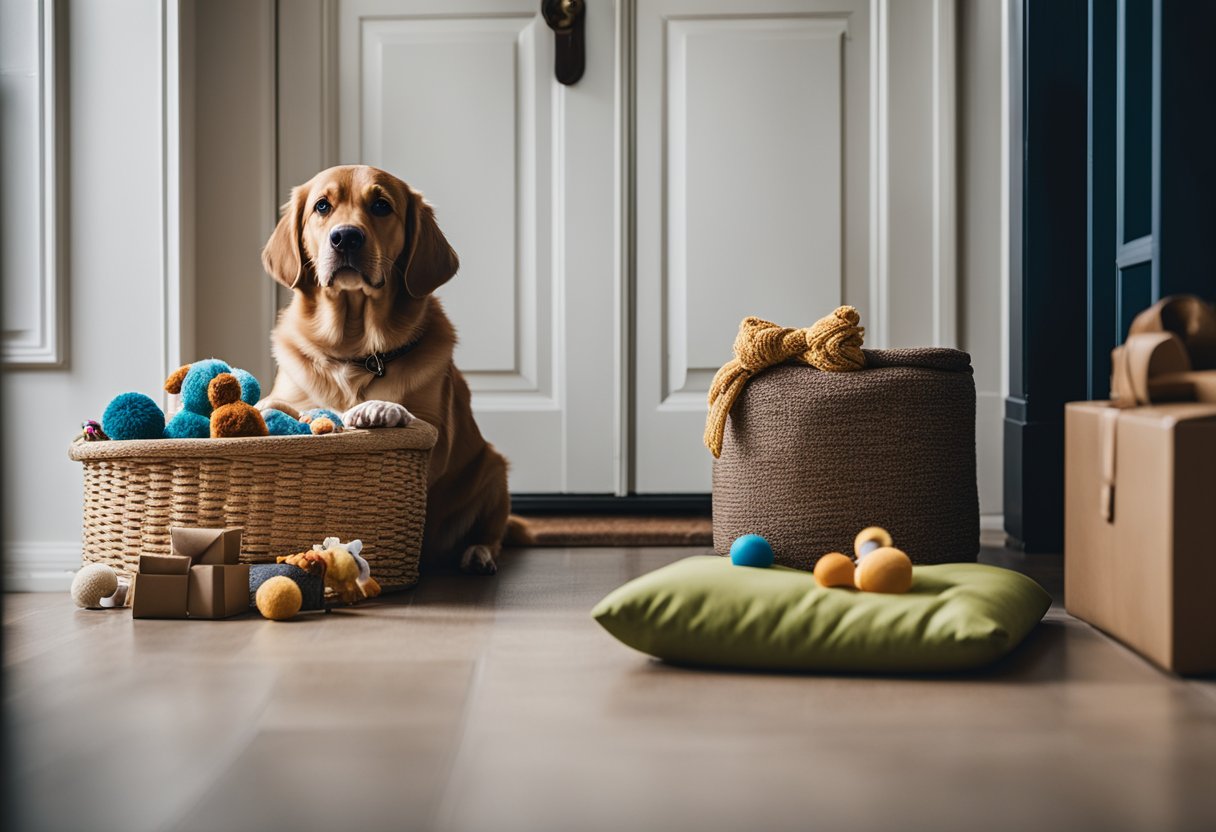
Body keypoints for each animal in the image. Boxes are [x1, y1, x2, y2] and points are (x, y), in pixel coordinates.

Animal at [262, 165, 518, 574]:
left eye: (381, 205)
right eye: (322, 206)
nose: (346, 237)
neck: (356, 351)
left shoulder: (437, 435)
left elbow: (409, 417)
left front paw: (380, 409)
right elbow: (282, 406)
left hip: (494, 469)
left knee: (494, 534)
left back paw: (478, 553)